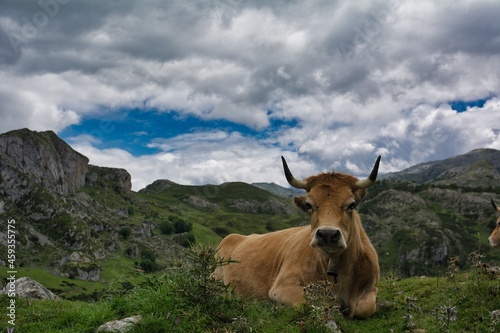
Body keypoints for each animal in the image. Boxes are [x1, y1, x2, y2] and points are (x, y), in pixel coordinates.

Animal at [213, 155, 380, 316]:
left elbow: (367, 308)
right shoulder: (283, 286)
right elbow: (318, 304)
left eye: (351, 205)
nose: (327, 234)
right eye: (308, 205)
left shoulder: (372, 290)